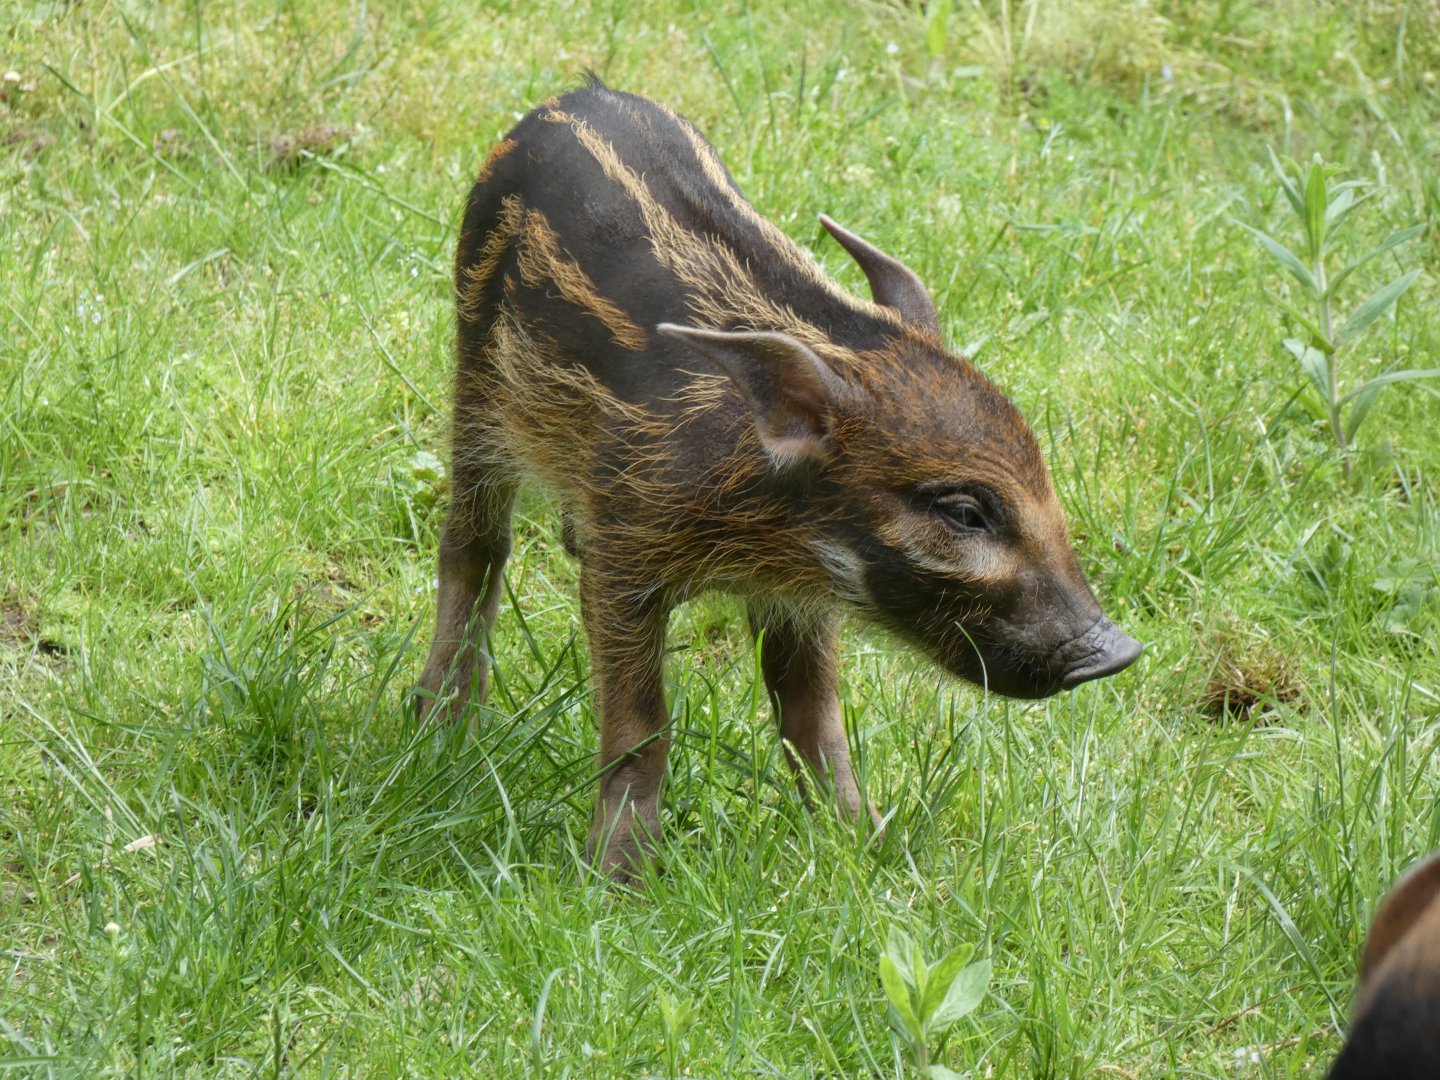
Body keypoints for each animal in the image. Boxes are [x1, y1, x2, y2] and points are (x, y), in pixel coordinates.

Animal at [416, 77, 1141, 879]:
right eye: (962, 511)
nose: (1118, 652)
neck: (760, 514)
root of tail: (576, 94)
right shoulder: (624, 557)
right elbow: (643, 725)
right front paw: (619, 879)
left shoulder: (798, 595)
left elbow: (812, 716)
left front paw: (870, 849)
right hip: (477, 392)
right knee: (475, 546)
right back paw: (441, 728)